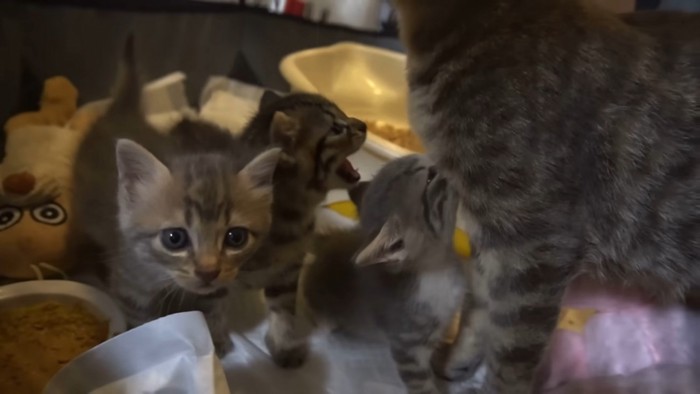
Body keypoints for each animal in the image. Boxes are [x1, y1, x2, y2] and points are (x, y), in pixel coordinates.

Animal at [71, 37, 278, 358]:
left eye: (236, 238)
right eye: (174, 238)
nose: (208, 271)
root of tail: (122, 110)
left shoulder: (221, 283)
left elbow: (213, 306)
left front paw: (215, 339)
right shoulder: (131, 287)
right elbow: (143, 323)